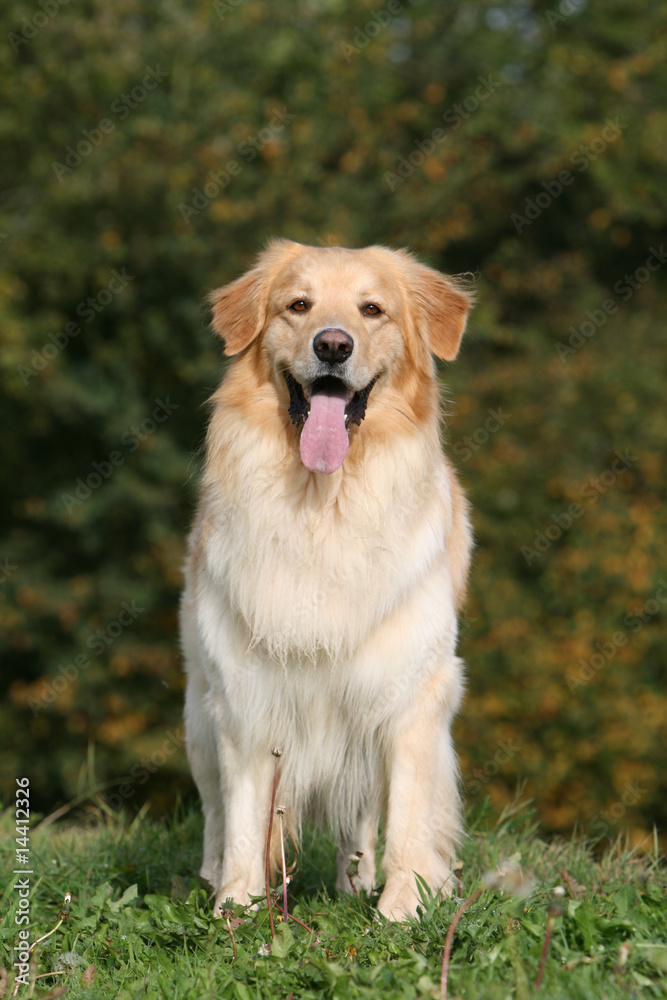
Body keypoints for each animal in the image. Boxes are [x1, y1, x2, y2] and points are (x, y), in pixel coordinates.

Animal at [181, 238, 474, 916]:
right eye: (298, 305)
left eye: (372, 309)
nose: (333, 345)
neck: (325, 500)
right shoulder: (244, 697)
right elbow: (242, 821)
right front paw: (234, 910)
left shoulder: (410, 691)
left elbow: (411, 817)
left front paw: (404, 909)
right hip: (198, 714)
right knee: (214, 810)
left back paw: (356, 883)